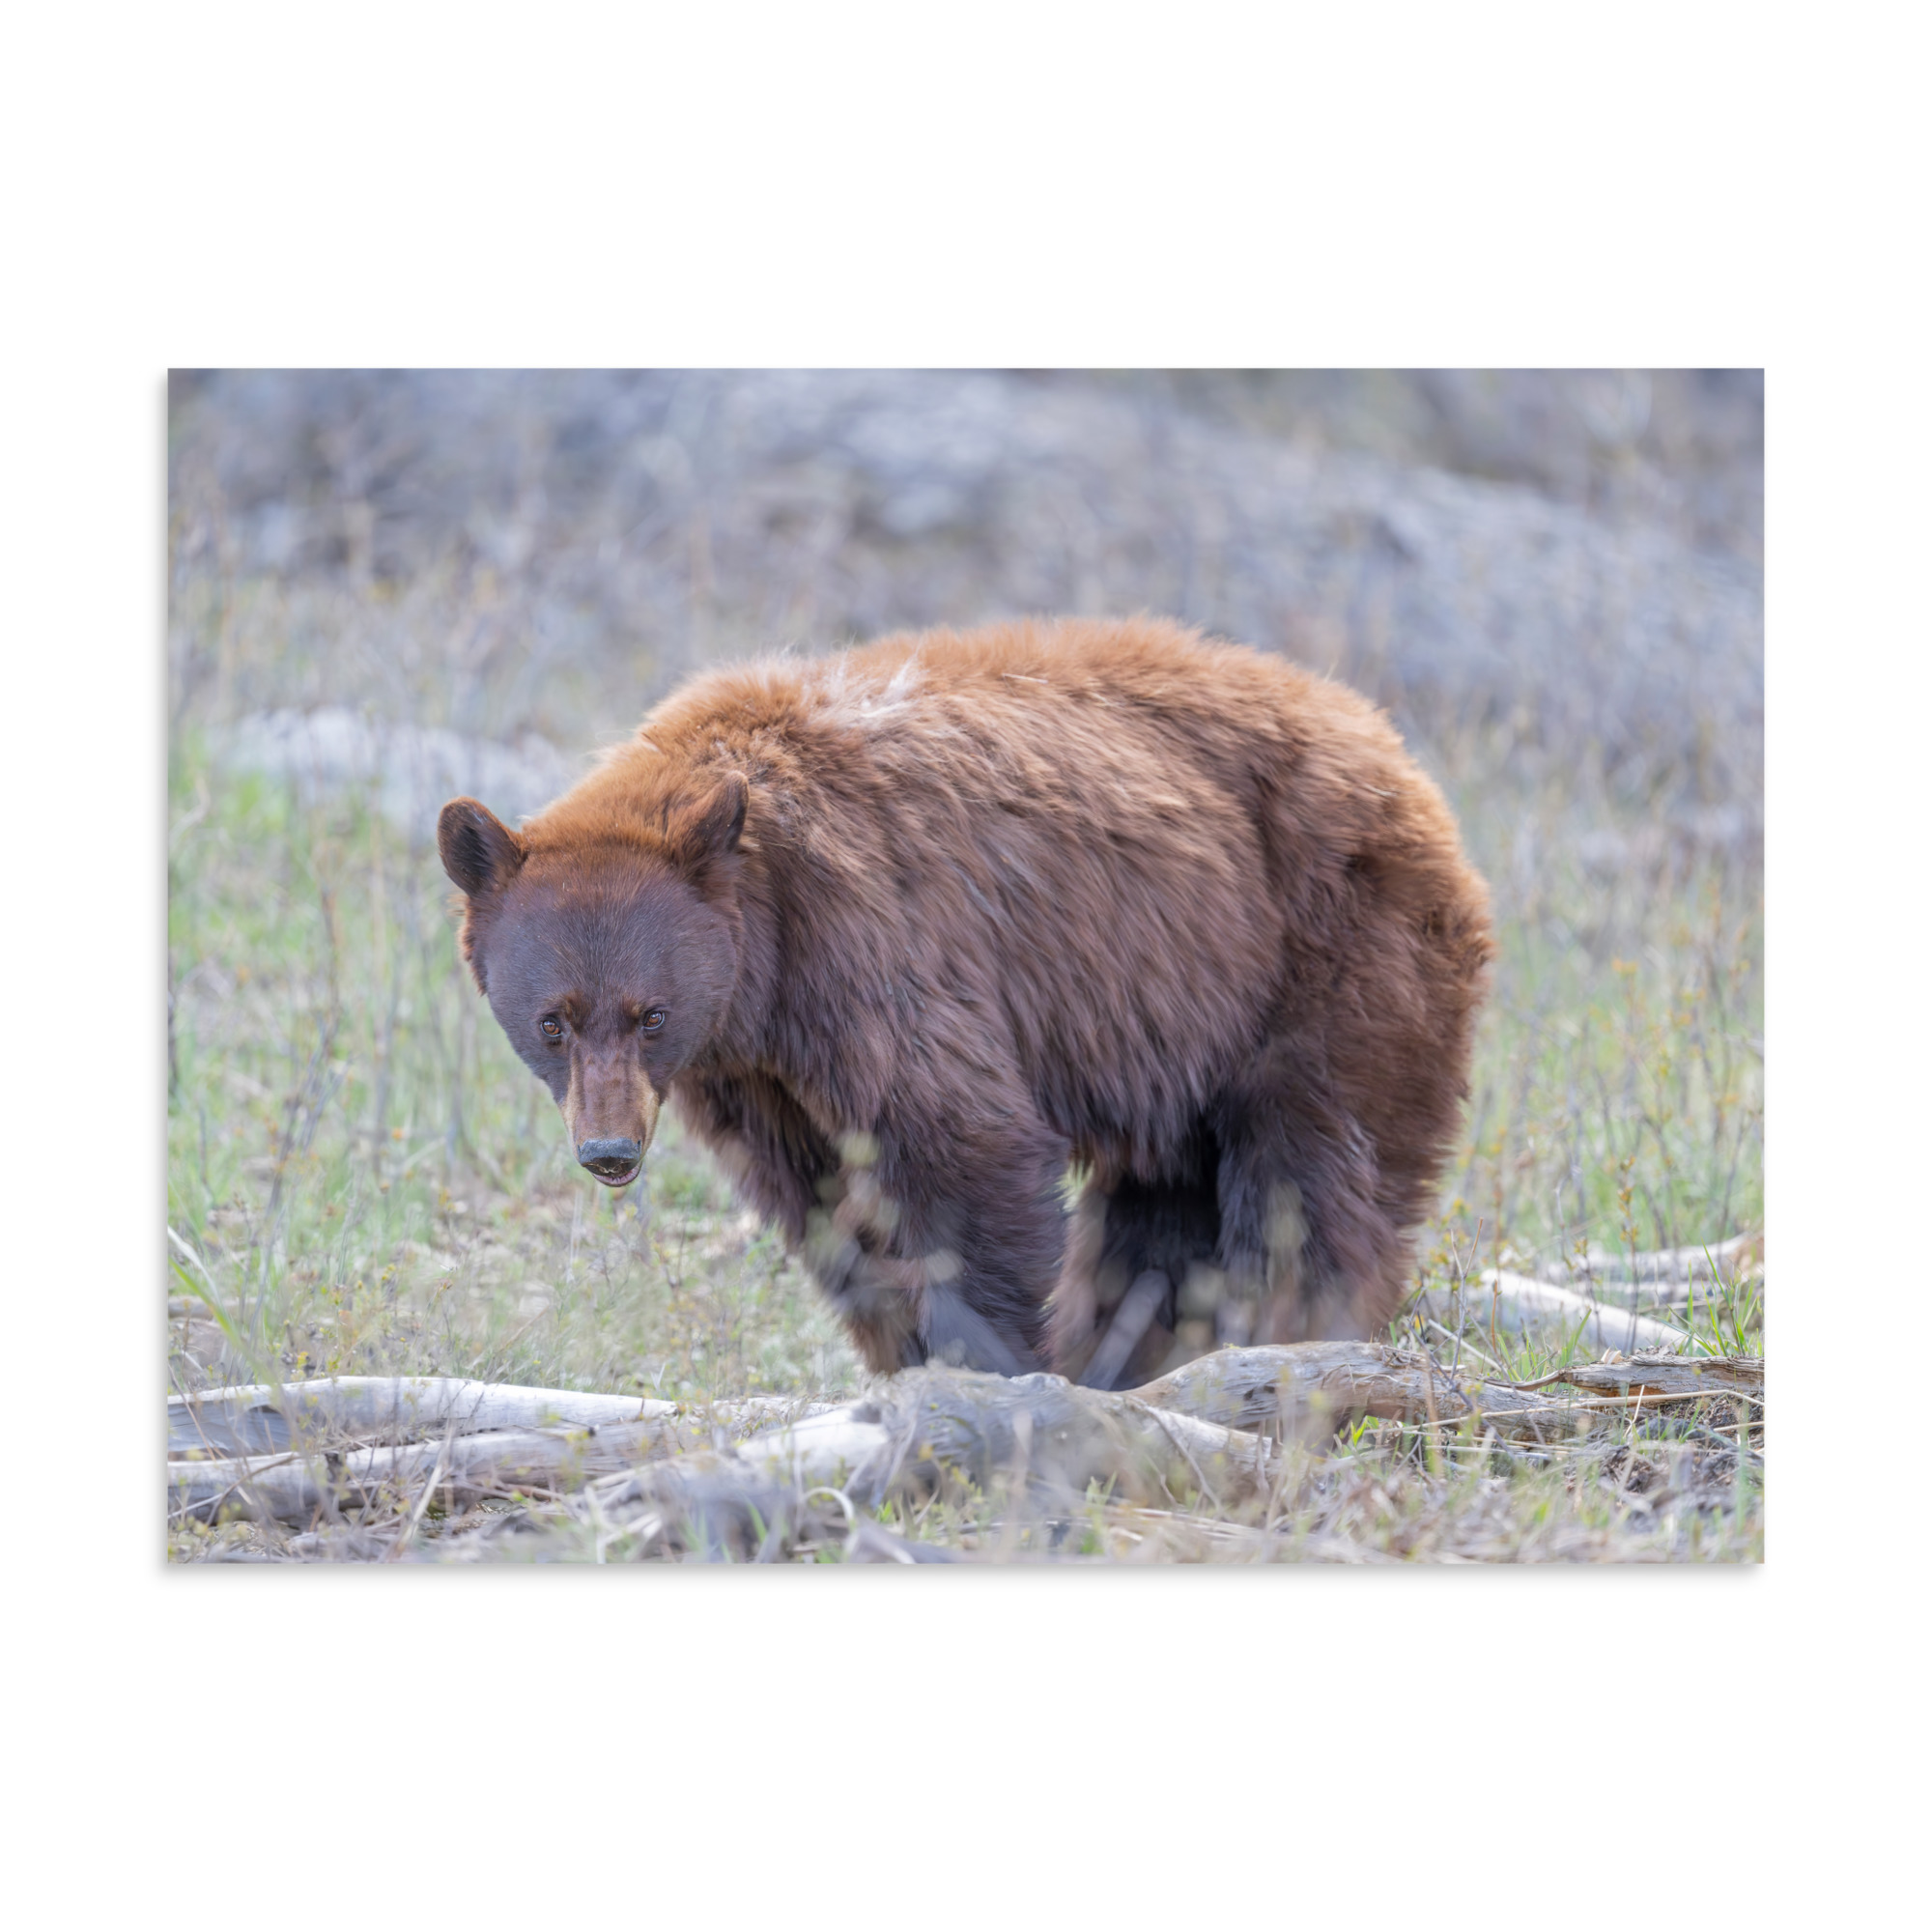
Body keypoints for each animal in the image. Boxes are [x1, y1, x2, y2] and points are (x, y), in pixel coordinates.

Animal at [437, 616, 1492, 1388]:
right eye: (553, 1021)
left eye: (649, 1014)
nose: (609, 1152)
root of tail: (1393, 748)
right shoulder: (754, 1071)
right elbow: (824, 1200)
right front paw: (905, 1355)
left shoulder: (874, 946)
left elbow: (960, 1147)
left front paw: (990, 1362)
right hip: (1185, 1022)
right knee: (1163, 1203)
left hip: (1326, 950)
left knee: (1312, 1170)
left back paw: (1286, 1332)